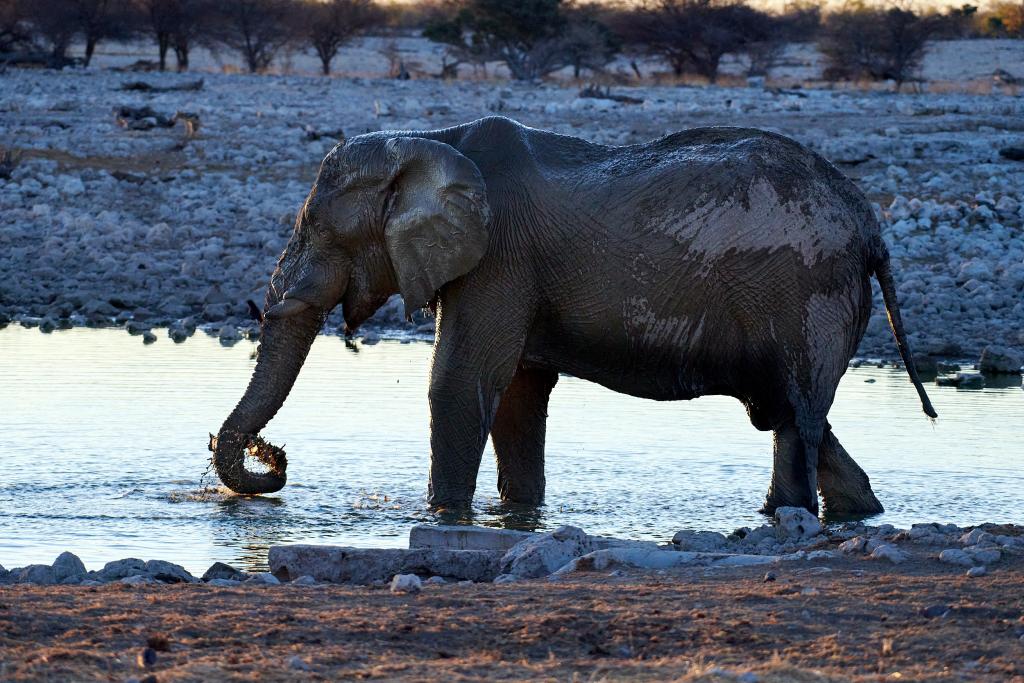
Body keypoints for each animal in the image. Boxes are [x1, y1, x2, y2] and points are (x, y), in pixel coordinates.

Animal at [211, 116, 937, 518]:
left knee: (794, 414)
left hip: (806, 294)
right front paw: (516, 513)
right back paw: (857, 510)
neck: (428, 141)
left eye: (316, 228)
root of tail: (871, 224)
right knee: (791, 413)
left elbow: (460, 384)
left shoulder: (499, 258)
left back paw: (785, 513)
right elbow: (516, 397)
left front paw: (443, 514)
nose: (273, 457)